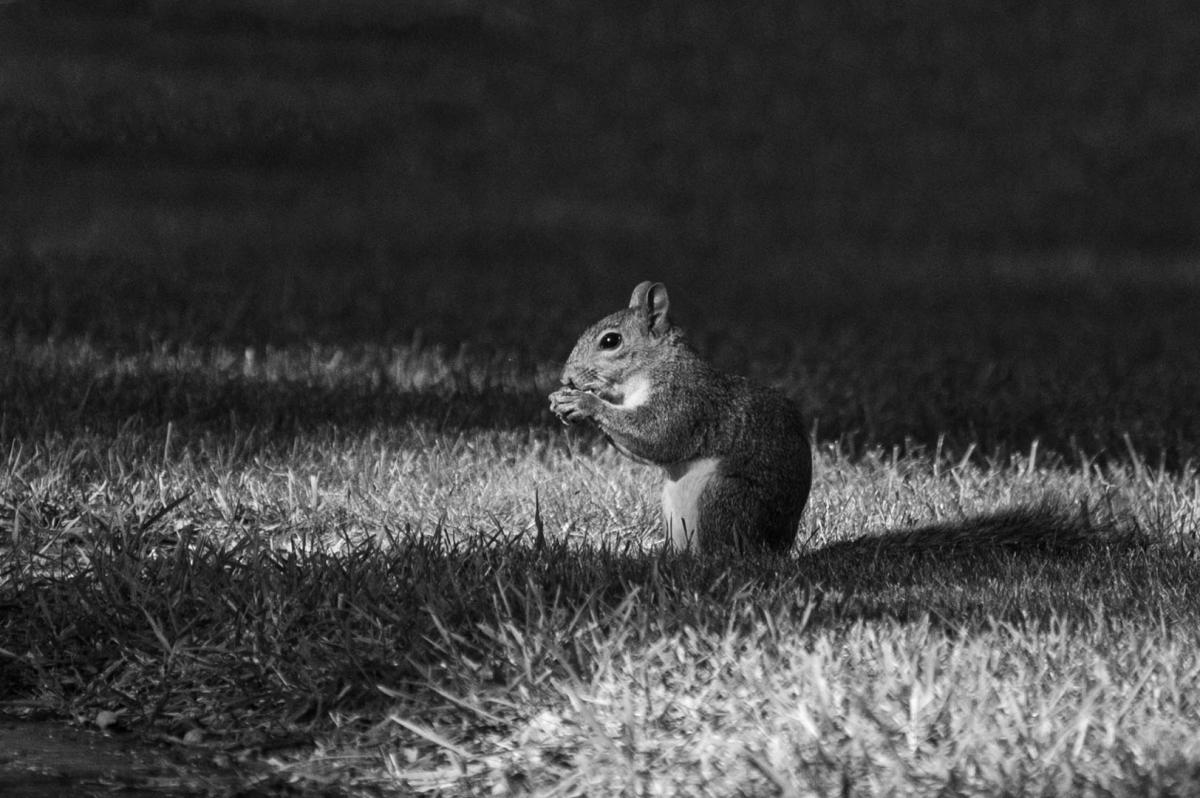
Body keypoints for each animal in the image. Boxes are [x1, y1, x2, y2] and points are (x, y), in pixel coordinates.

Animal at [549, 281, 812, 553]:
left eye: (611, 340)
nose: (565, 377)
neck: (656, 365)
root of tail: (779, 546)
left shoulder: (685, 400)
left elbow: (658, 437)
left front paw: (585, 402)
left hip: (726, 497)